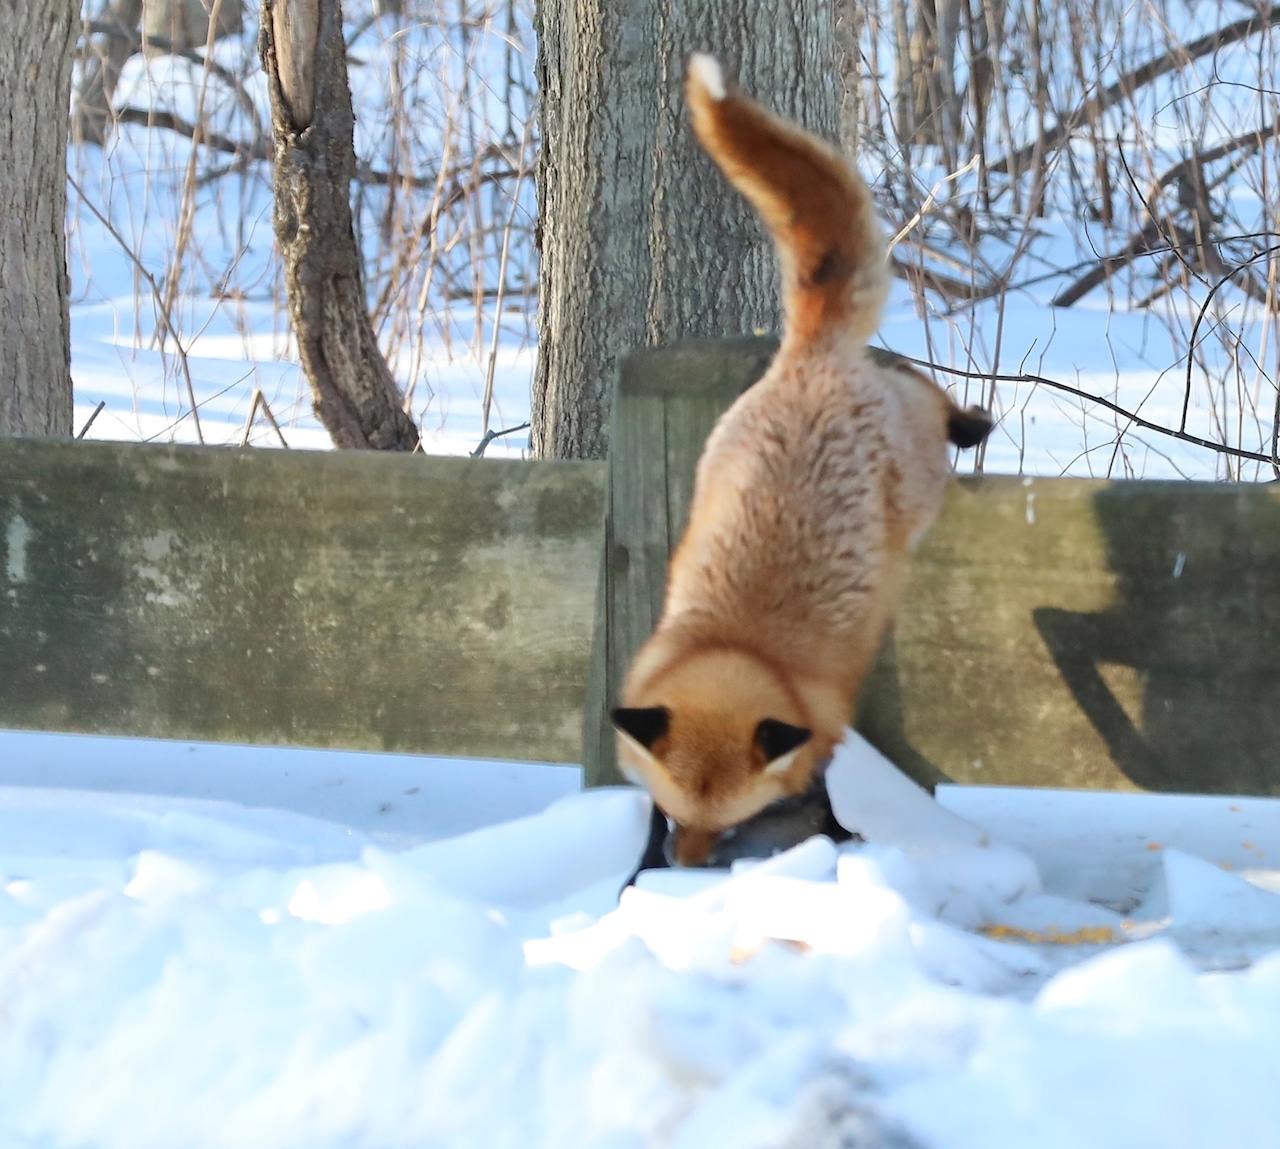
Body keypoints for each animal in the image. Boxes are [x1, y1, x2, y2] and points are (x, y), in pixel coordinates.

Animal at [611, 54, 992, 868]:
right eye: (672, 815)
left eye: (731, 827)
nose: (685, 873)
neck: (741, 647)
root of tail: (809, 360)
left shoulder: (823, 736)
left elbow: (826, 801)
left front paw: (840, 841)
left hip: (921, 468)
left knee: (923, 390)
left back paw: (972, 422)